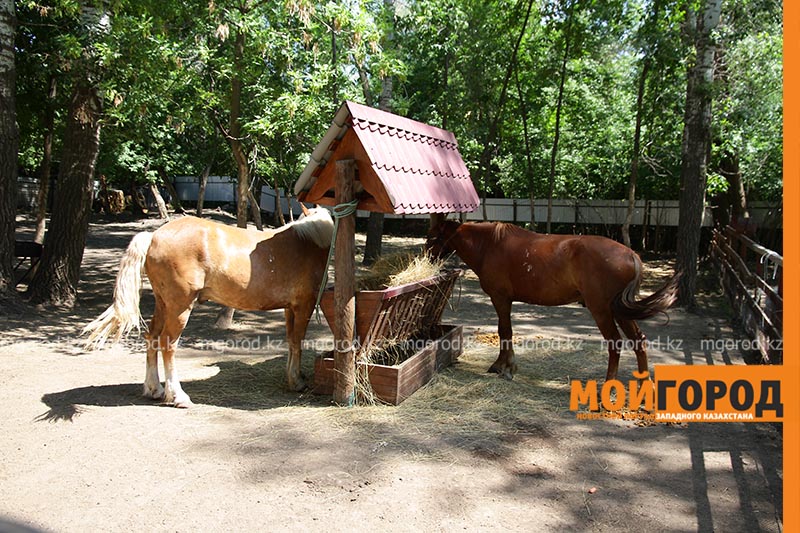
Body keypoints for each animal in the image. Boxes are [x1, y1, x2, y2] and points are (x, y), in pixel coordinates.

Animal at [83, 206, 334, 408]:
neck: (309, 242)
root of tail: (153, 236)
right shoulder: (304, 305)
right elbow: (298, 341)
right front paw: (297, 381)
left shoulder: (290, 308)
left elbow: (291, 340)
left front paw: (294, 377)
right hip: (180, 307)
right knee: (167, 343)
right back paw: (178, 396)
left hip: (163, 304)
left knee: (152, 337)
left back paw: (155, 389)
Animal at [426, 220, 680, 382]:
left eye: (432, 236)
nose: (427, 257)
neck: (489, 245)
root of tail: (631, 254)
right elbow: (505, 331)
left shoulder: (500, 298)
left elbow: (504, 331)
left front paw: (503, 367)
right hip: (620, 311)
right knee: (638, 341)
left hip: (602, 310)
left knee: (615, 343)